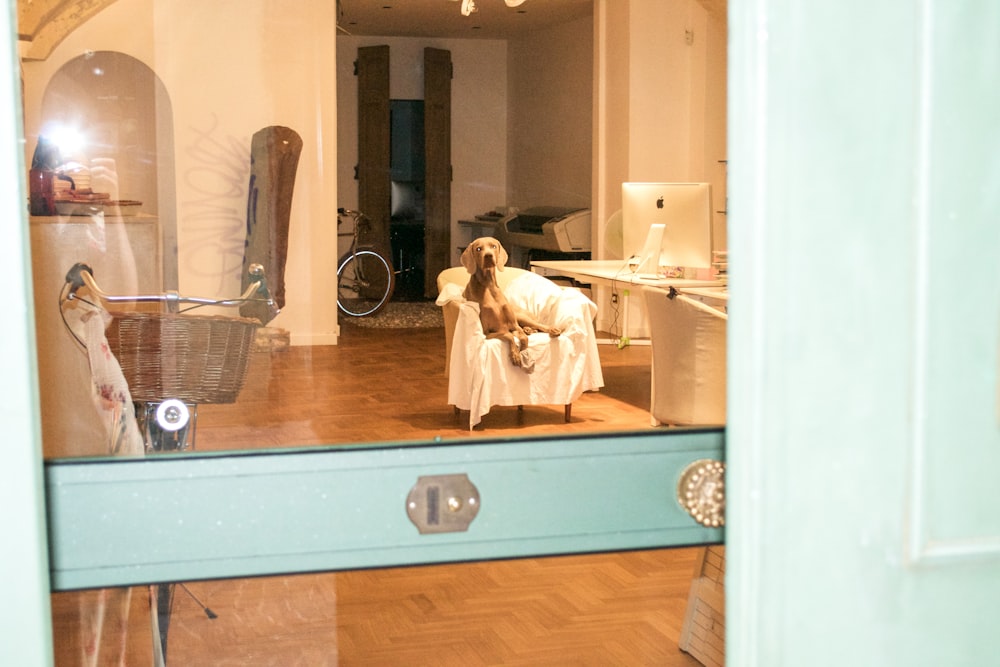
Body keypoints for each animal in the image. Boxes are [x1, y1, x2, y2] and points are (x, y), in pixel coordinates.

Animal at [462, 237, 564, 368]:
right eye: (478, 249)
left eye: (493, 246)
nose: (488, 256)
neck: (489, 286)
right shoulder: (487, 333)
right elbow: (508, 335)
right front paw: (516, 354)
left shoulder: (514, 325)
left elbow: (524, 338)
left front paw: (523, 352)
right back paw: (529, 330)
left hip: (521, 317)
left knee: (539, 325)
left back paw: (550, 330)